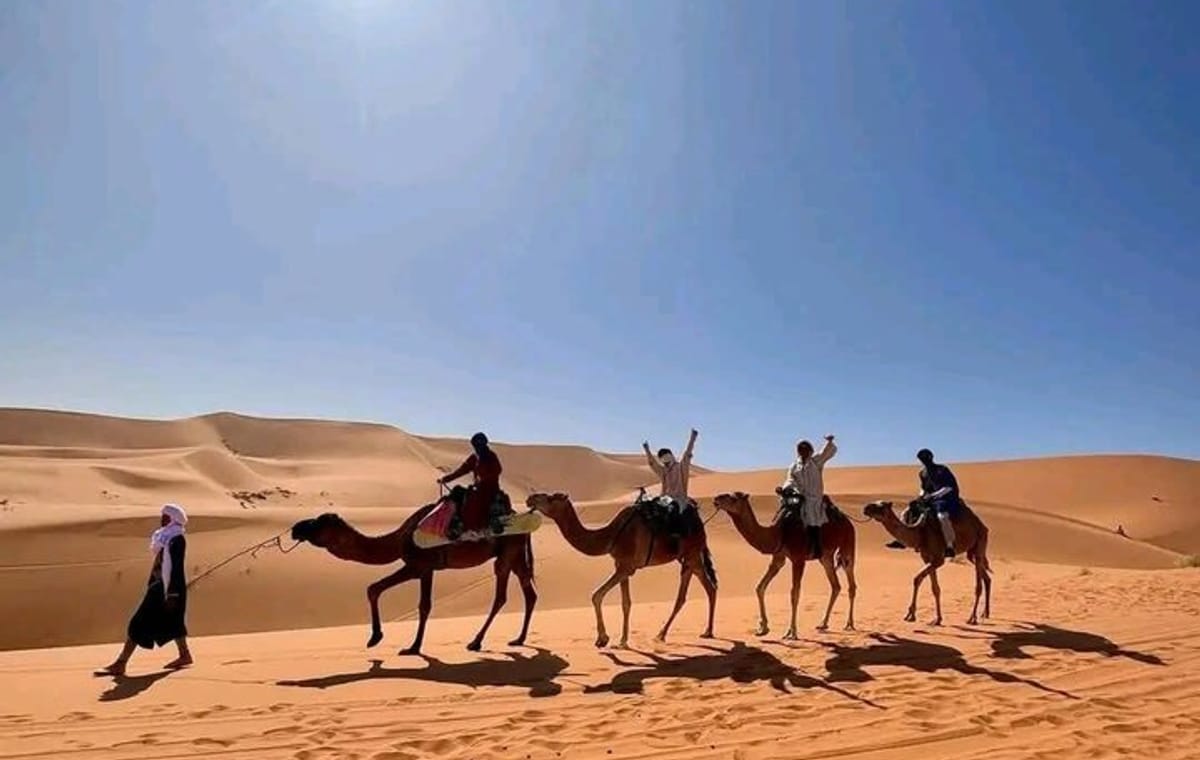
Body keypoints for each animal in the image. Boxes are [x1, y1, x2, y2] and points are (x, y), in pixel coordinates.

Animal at [290, 506, 536, 655]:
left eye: (318, 523)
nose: (295, 528)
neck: (399, 538)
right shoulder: (422, 568)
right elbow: (377, 589)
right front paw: (379, 638)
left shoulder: (420, 566)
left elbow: (420, 604)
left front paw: (410, 646)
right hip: (516, 554)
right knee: (529, 592)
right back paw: (519, 639)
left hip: (507, 553)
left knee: (501, 595)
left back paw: (476, 642)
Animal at [525, 492, 717, 649]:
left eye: (550, 498)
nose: (530, 498)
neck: (611, 535)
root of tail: (699, 521)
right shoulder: (621, 565)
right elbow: (626, 603)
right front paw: (623, 641)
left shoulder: (626, 568)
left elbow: (596, 595)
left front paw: (602, 639)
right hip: (690, 557)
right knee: (705, 588)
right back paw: (682, 633)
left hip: (692, 554)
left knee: (697, 590)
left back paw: (688, 633)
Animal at [712, 491, 857, 638]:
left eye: (733, 498)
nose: (716, 499)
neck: (777, 533)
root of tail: (848, 521)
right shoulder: (778, 558)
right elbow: (760, 588)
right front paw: (763, 627)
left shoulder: (798, 559)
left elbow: (794, 593)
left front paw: (791, 632)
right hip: (825, 556)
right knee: (836, 586)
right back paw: (823, 623)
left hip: (848, 544)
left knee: (851, 581)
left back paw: (849, 624)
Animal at [862, 500, 991, 626]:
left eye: (881, 506)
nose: (866, 508)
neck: (920, 533)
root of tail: (982, 525)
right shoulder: (927, 558)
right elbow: (935, 588)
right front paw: (937, 619)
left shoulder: (938, 560)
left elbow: (917, 578)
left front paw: (911, 615)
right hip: (971, 553)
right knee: (986, 577)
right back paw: (985, 613)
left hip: (980, 541)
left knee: (978, 584)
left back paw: (972, 618)